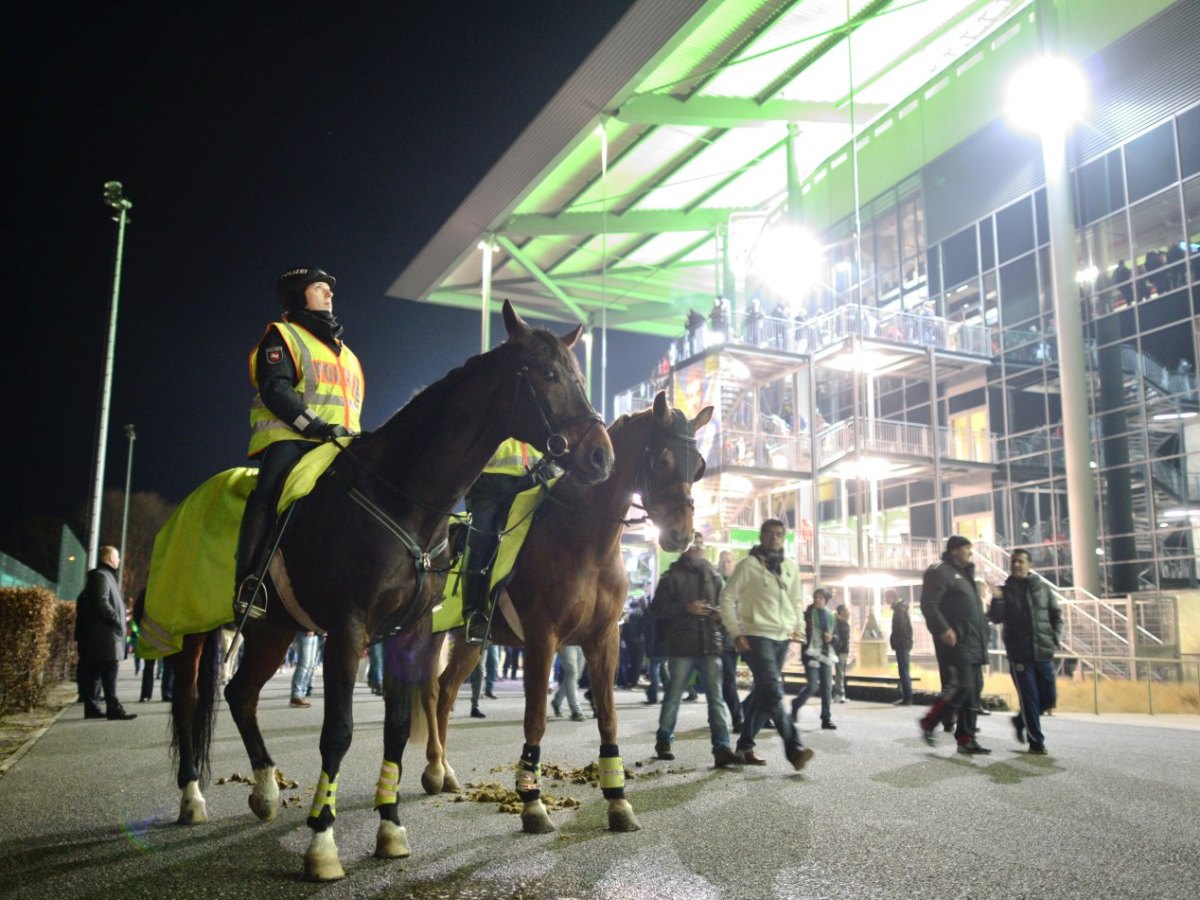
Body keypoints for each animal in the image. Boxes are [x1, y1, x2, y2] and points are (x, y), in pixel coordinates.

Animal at [164, 303, 614, 883]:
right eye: (549, 374)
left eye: (579, 376)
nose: (601, 457)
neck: (400, 496)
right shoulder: (348, 629)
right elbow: (338, 731)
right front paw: (322, 841)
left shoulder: (410, 633)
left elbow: (398, 728)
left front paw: (391, 827)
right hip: (193, 625)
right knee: (187, 700)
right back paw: (192, 797)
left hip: (273, 627)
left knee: (240, 693)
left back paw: (264, 790)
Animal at [420, 391, 705, 835]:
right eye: (662, 460)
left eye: (700, 466)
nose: (681, 534)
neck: (584, 539)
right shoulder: (543, 639)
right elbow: (536, 717)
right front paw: (532, 803)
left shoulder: (604, 640)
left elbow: (608, 716)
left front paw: (617, 800)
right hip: (429, 632)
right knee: (431, 691)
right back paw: (433, 769)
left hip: (469, 640)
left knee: (447, 691)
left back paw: (446, 770)